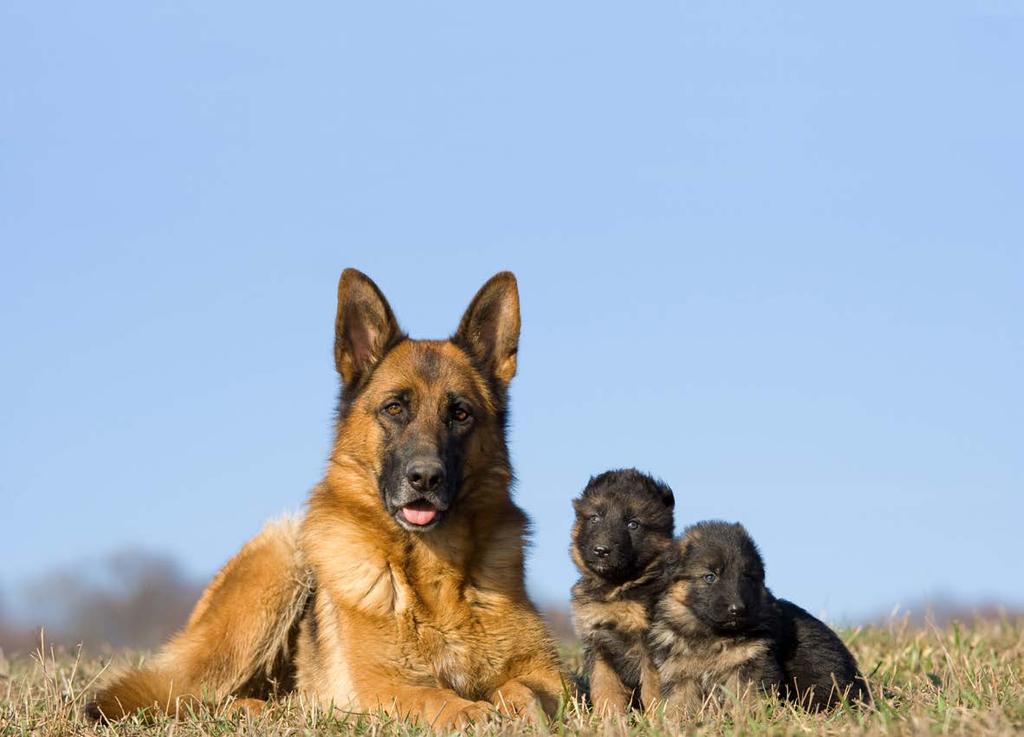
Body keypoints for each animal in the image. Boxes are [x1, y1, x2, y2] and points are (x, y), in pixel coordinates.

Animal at [86, 268, 569, 724]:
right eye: (395, 408)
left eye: (461, 414)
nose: (425, 478)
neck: (433, 575)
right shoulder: (381, 685)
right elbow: (432, 697)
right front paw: (470, 712)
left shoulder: (549, 677)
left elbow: (526, 690)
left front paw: (518, 710)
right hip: (279, 562)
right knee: (194, 698)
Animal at [569, 472, 679, 712]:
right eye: (595, 518)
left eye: (633, 524)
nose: (601, 550)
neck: (617, 587)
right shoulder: (598, 643)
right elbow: (605, 687)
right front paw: (609, 717)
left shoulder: (651, 645)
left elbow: (653, 689)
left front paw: (656, 718)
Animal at [655, 522, 864, 716]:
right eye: (710, 577)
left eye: (746, 576)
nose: (737, 609)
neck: (713, 635)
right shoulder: (680, 674)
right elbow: (678, 704)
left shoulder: (752, 664)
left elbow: (745, 698)